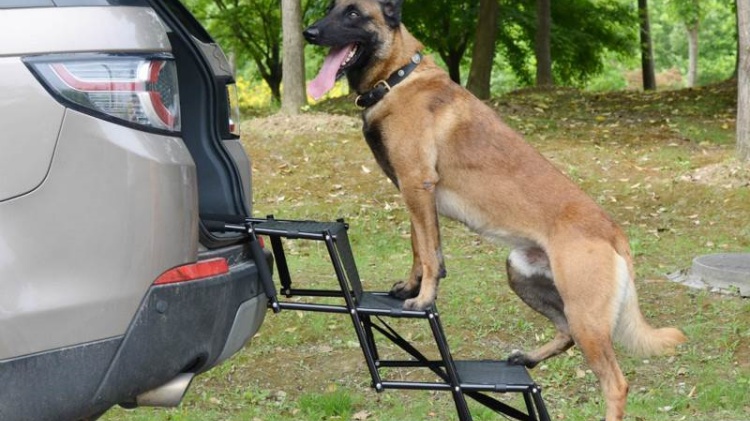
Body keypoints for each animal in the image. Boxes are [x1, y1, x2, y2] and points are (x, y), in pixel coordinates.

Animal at [304, 1, 688, 418]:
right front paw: (410, 285)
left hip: (585, 313)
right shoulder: (412, 191)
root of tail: (614, 232)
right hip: (521, 273)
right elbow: (419, 245)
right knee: (566, 332)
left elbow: (428, 253)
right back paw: (528, 358)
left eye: (353, 14)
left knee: (615, 383)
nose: (309, 33)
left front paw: (423, 297)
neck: (397, 76)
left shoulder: (416, 183)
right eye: (331, 8)